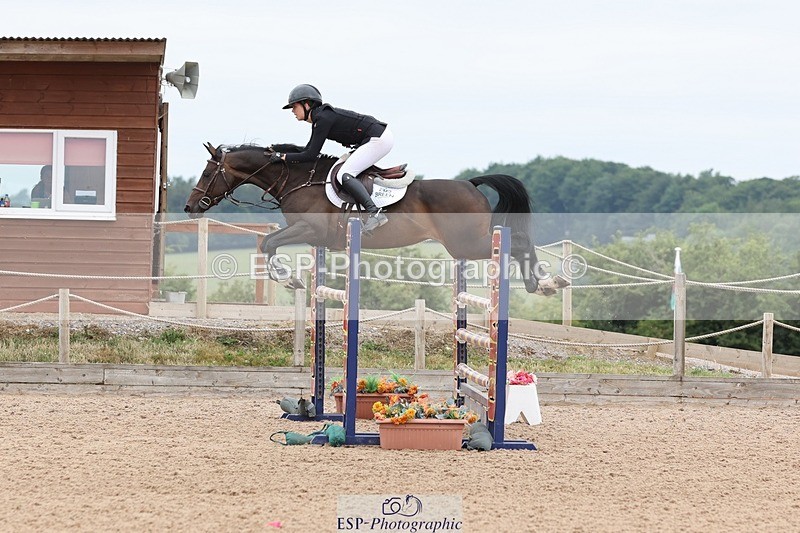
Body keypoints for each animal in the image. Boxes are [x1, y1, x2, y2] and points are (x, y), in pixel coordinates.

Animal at [184, 142, 567, 295]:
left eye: (207, 172)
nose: (190, 206)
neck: (298, 179)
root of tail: (470, 183)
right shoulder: (310, 235)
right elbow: (270, 243)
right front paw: (292, 279)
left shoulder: (308, 228)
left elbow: (268, 242)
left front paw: (290, 280)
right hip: (466, 243)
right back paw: (543, 283)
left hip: (466, 243)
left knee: (519, 241)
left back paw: (546, 282)